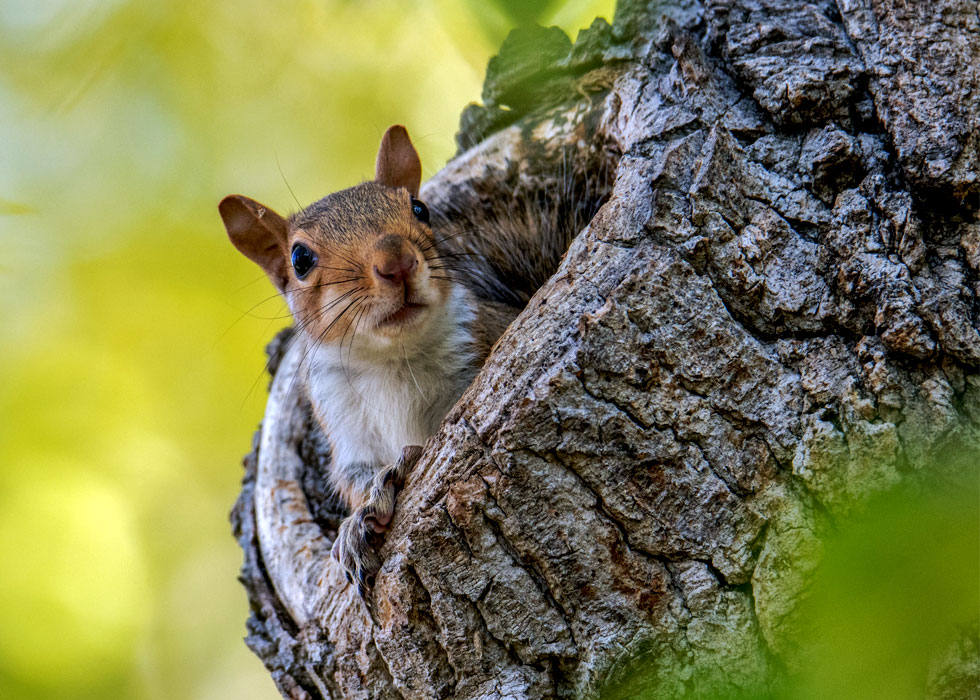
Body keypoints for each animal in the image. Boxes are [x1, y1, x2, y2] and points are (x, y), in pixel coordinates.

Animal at [218, 126, 516, 596]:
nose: (397, 262)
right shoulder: (343, 423)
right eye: (300, 259)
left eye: (419, 208)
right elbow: (355, 479)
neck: (394, 358)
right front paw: (357, 523)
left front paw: (405, 463)